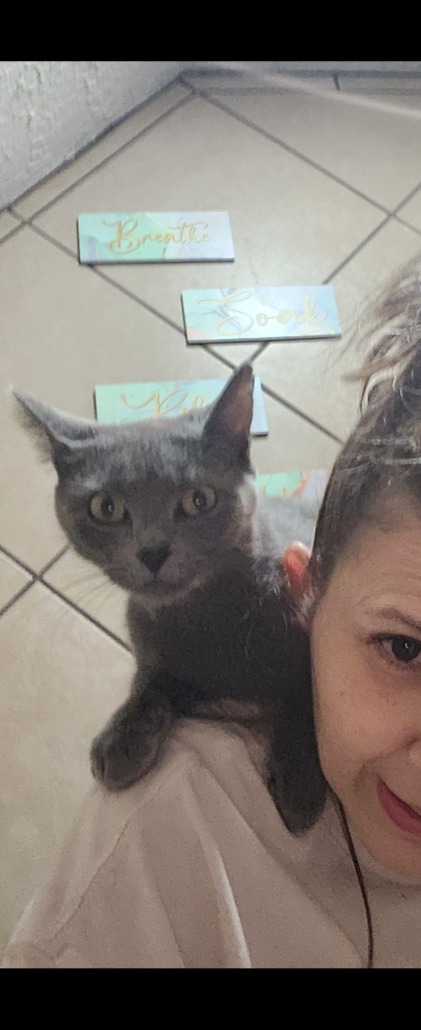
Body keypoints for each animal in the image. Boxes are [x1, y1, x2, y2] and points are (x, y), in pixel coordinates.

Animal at [14, 363, 327, 834]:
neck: (206, 617)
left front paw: (300, 780)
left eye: (199, 500)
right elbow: (152, 680)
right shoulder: (148, 639)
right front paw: (122, 736)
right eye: (105, 507)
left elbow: (309, 696)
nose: (153, 551)